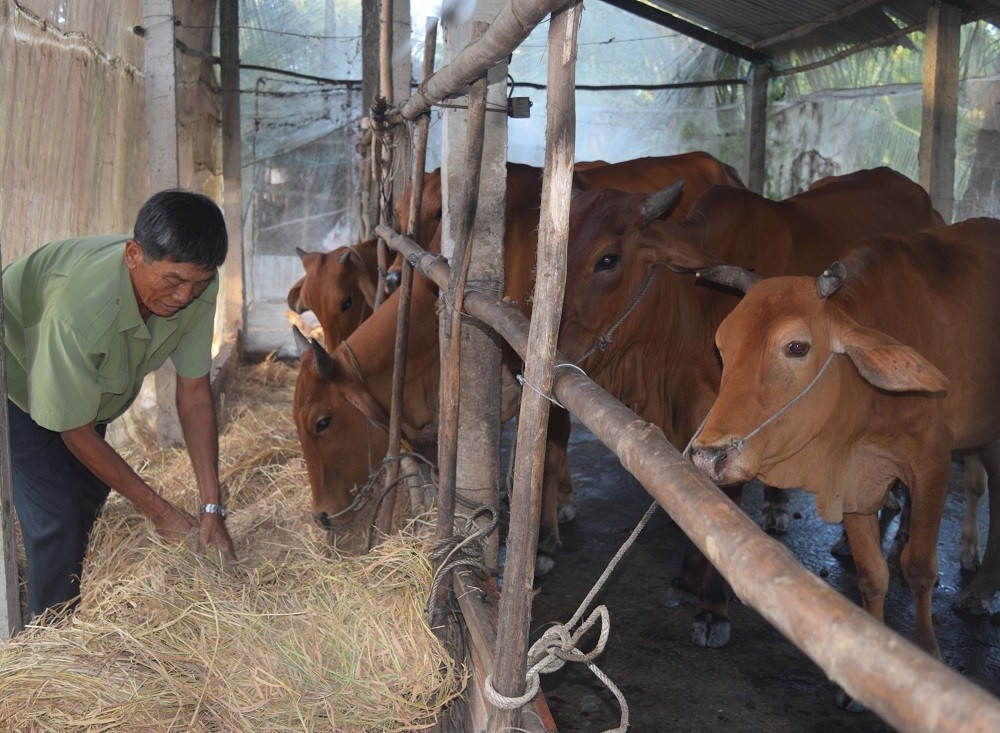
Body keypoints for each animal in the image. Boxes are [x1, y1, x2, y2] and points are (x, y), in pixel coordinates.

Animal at [564, 166, 944, 648]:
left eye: (607, 260)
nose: (554, 346)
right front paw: (687, 580)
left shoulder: (729, 427)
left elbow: (725, 500)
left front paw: (712, 606)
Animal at [688, 216, 1000, 688]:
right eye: (722, 347)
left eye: (796, 347)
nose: (708, 456)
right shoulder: (857, 478)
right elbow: (872, 576)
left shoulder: (932, 461)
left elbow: (920, 568)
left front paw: (926, 652)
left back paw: (978, 590)